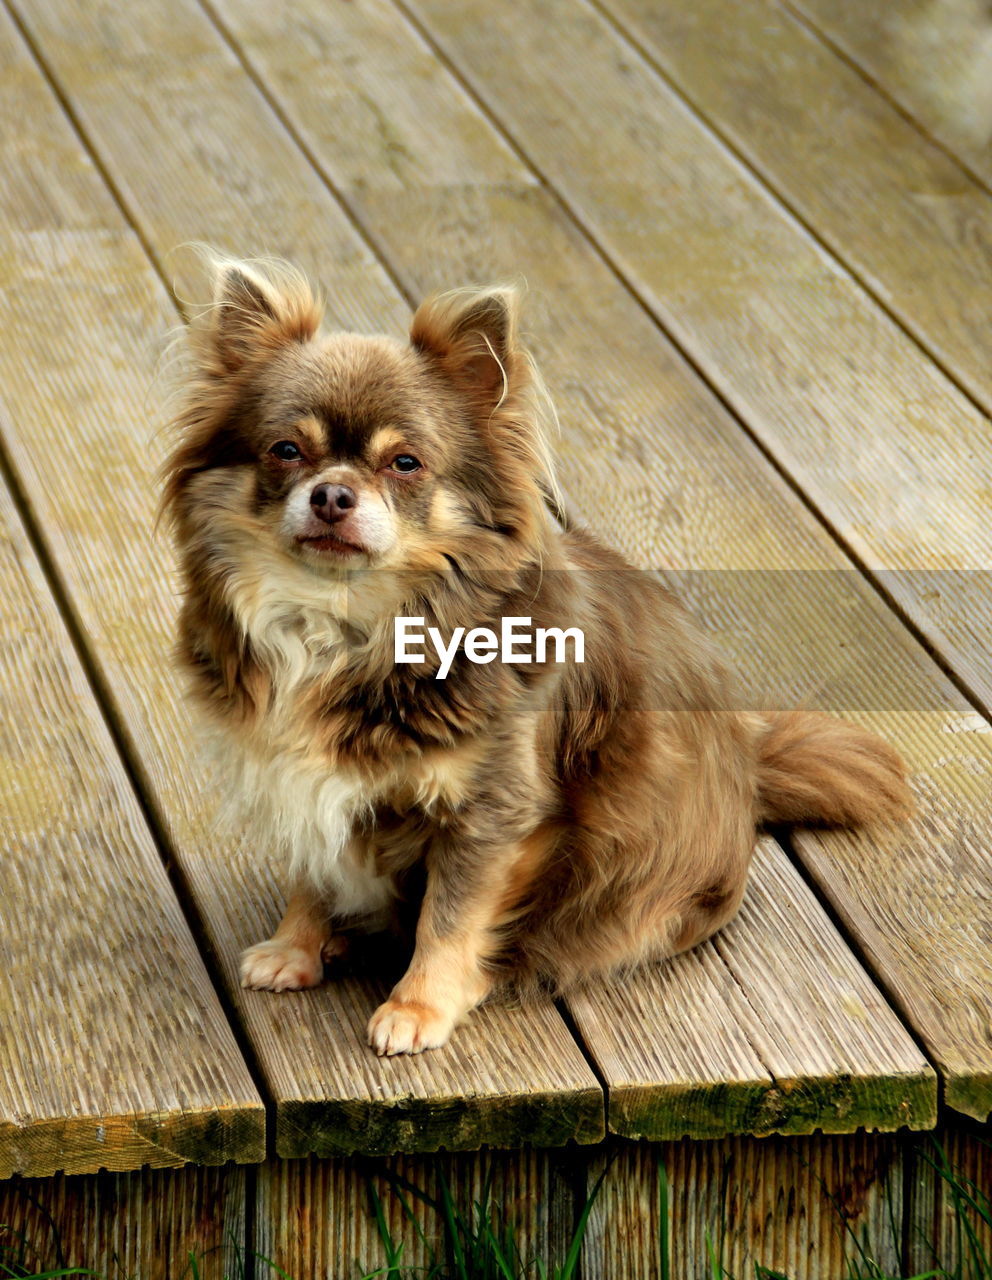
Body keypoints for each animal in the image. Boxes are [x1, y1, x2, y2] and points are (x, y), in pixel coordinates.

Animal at [163, 254, 916, 1054]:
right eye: (286, 451)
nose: (332, 495)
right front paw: (298, 946)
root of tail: (749, 761)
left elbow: (448, 918)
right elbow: (313, 867)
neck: (348, 631)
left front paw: (419, 1007)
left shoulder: (491, 814)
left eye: (406, 463)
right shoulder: (291, 776)